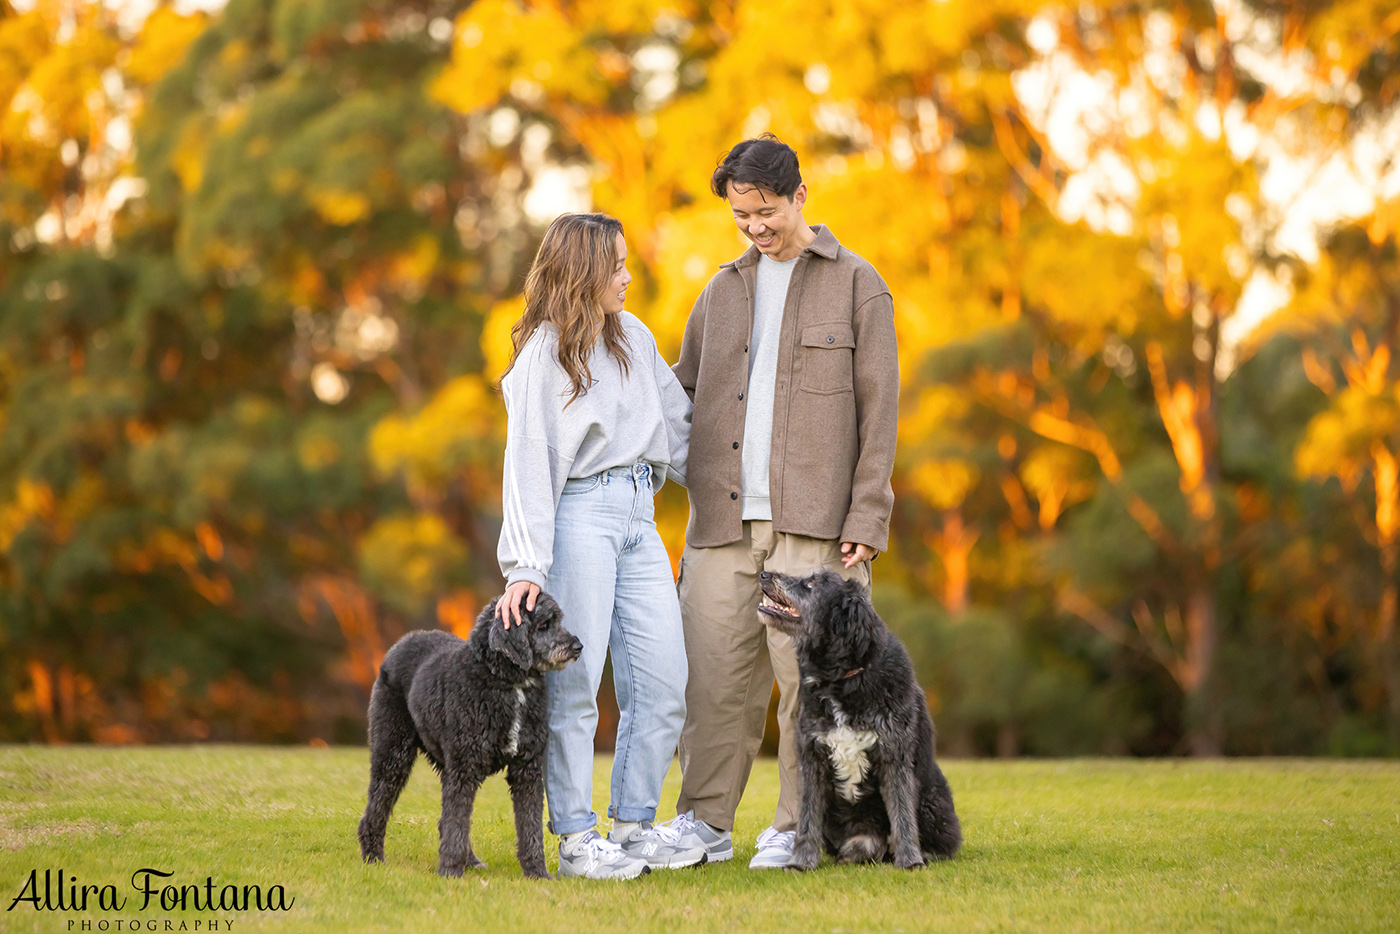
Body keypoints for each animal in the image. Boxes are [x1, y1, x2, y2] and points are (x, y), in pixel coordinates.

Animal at [361, 596, 585, 879]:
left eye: (558, 620)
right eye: (544, 624)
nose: (577, 646)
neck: (505, 681)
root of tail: (399, 645)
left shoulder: (527, 768)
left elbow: (530, 826)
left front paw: (537, 872)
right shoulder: (464, 769)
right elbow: (457, 821)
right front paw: (449, 871)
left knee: (443, 821)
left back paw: (471, 860)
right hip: (393, 752)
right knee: (377, 809)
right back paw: (373, 858)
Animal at [756, 571, 963, 868]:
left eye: (811, 584)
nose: (763, 573)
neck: (842, 678)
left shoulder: (894, 756)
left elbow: (903, 815)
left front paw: (910, 861)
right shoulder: (812, 758)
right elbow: (807, 819)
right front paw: (801, 862)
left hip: (934, 803)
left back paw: (923, 853)